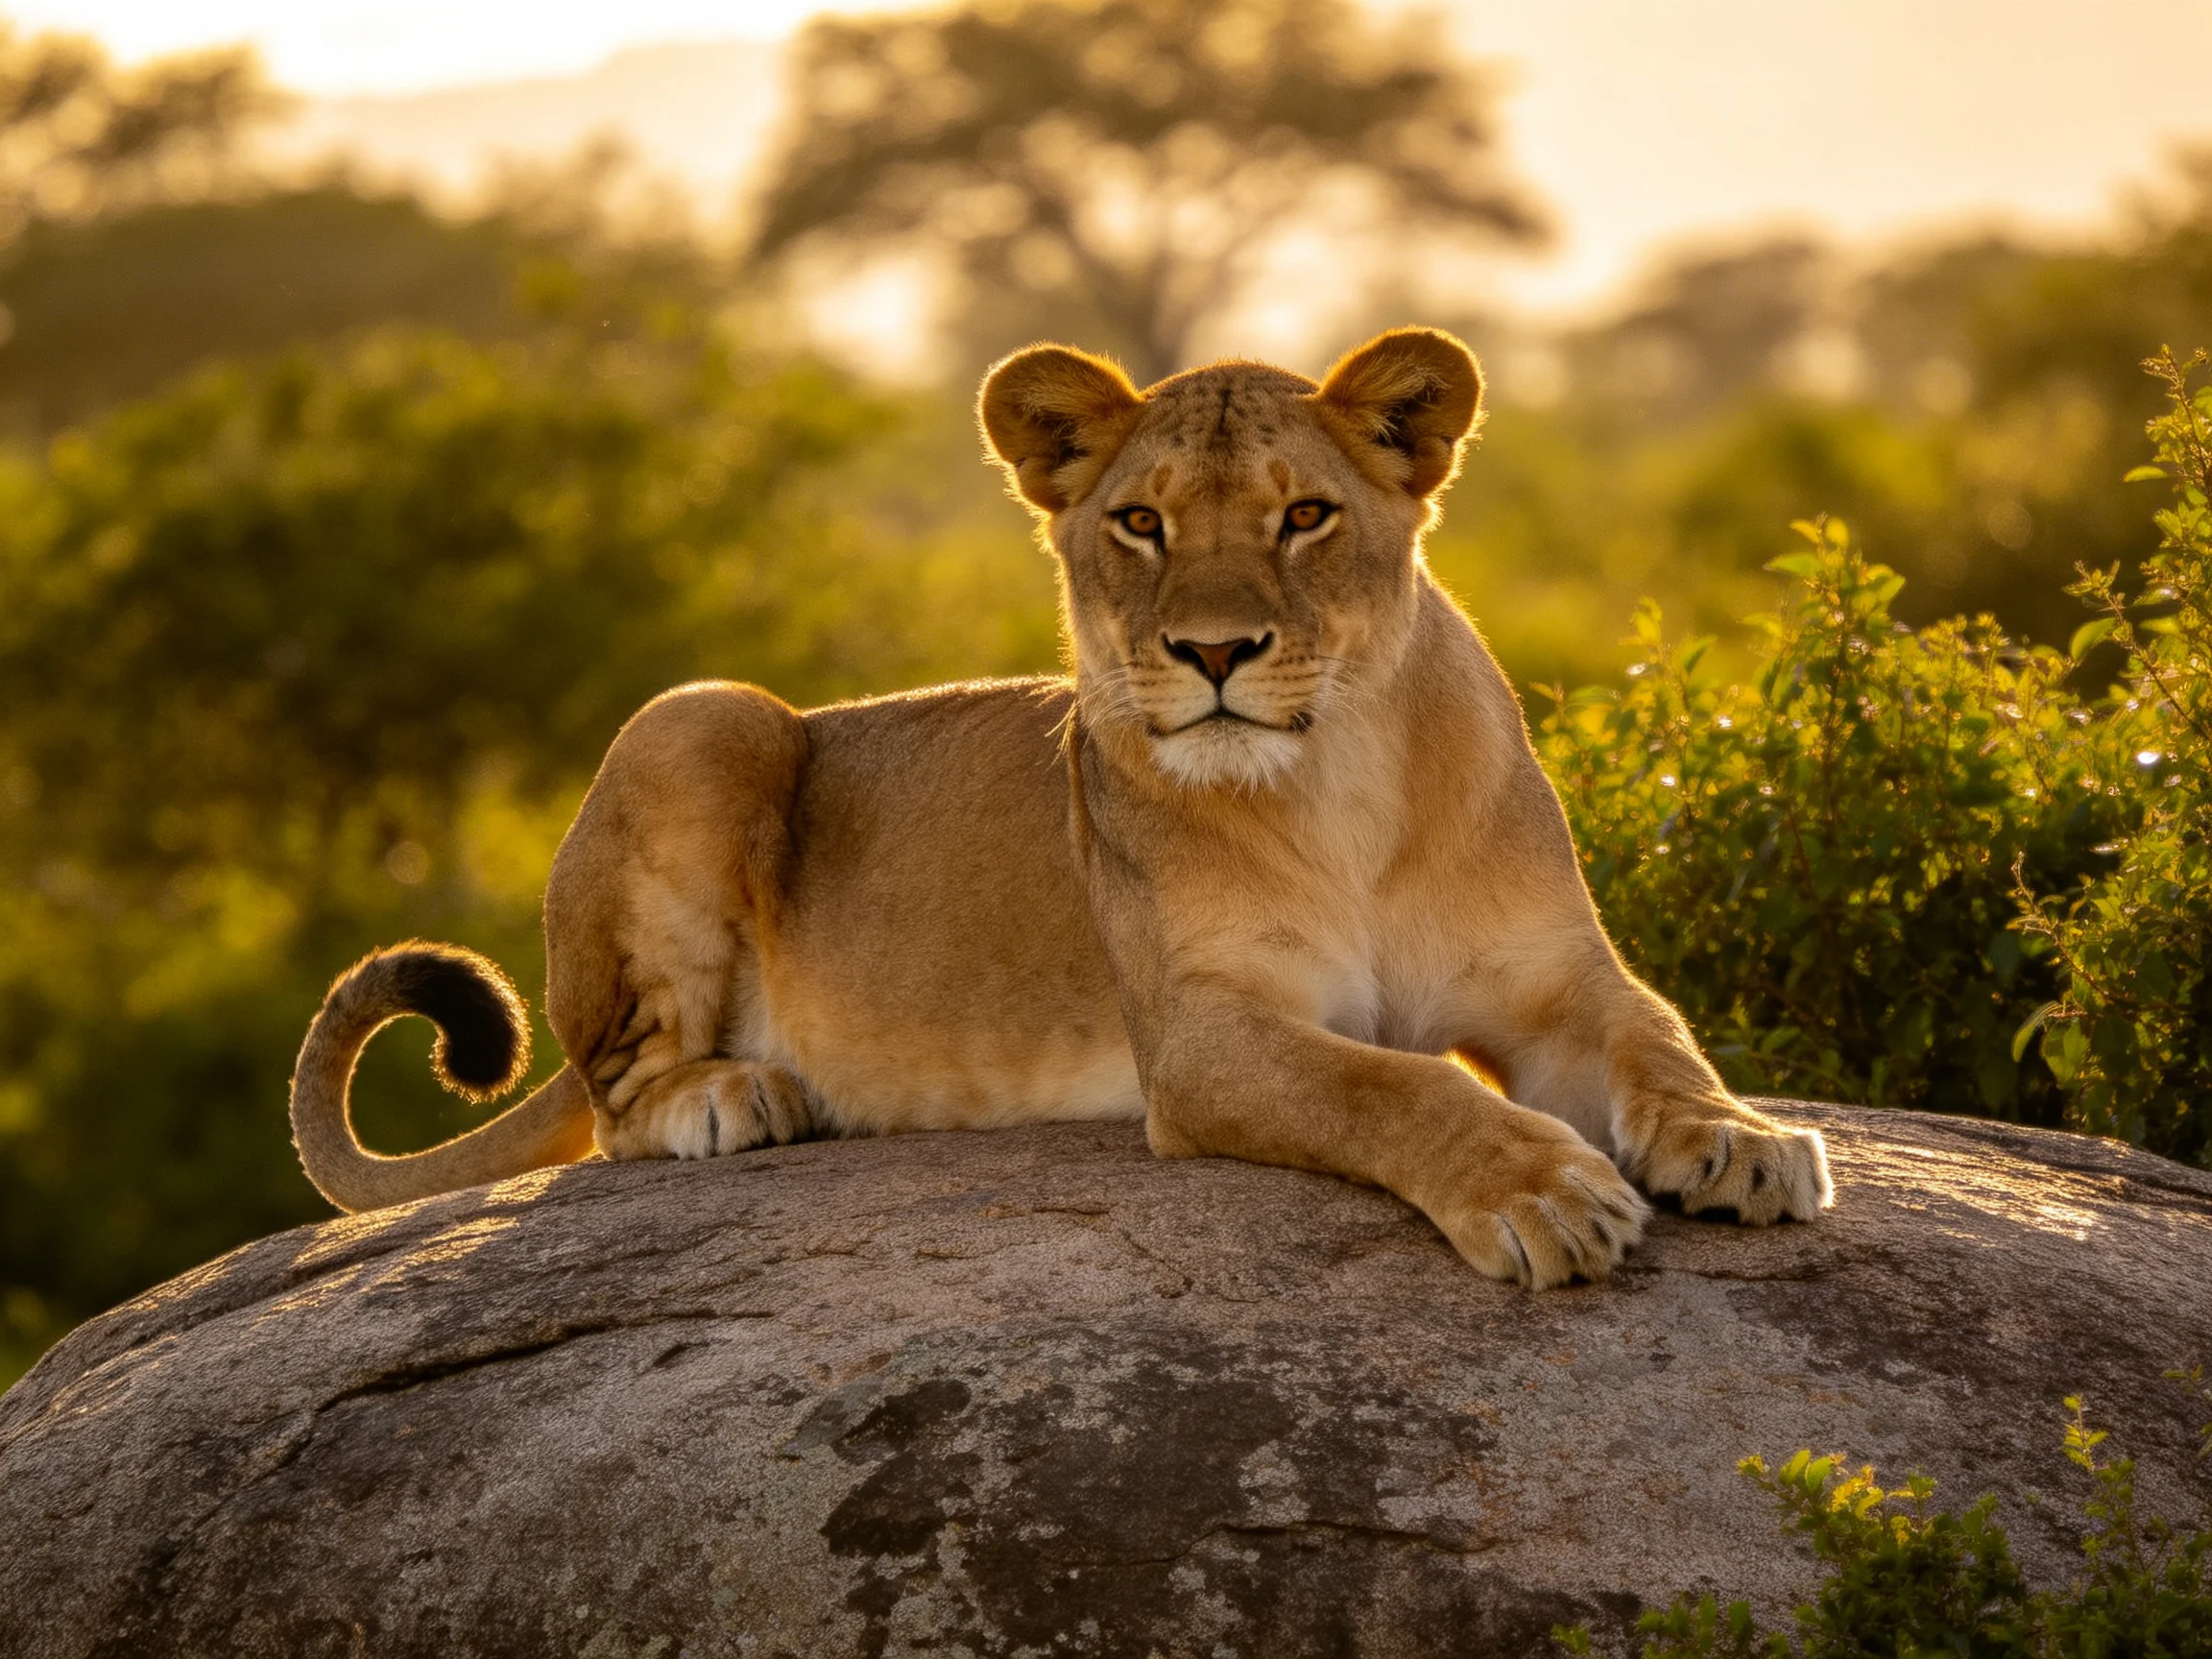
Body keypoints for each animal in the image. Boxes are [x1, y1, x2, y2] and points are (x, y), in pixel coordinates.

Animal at [290, 327, 1832, 1287]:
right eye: (1140, 523)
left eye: (1305, 517)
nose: (1215, 652)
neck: (1340, 782)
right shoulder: (1201, 1039)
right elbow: (1392, 1082)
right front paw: (1543, 1192)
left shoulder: (1554, 979)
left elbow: (1658, 1037)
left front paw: (1743, 1142)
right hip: (702, 717)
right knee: (615, 1103)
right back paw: (734, 1097)